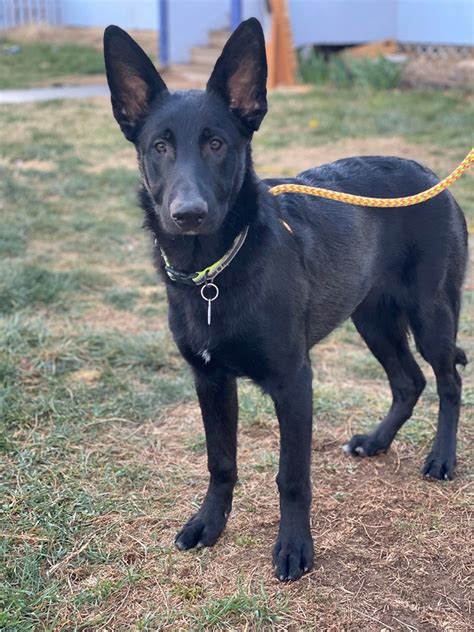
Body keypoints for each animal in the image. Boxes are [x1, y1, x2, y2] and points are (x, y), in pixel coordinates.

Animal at [103, 18, 466, 584]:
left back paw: (442, 458)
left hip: (431, 313)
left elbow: (292, 475)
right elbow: (220, 461)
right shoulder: (210, 380)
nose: (188, 214)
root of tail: (432, 178)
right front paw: (209, 524)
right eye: (159, 146)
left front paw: (295, 547)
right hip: (372, 319)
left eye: (216, 143)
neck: (214, 272)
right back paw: (377, 441)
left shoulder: (294, 382)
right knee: (409, 381)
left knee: (448, 382)